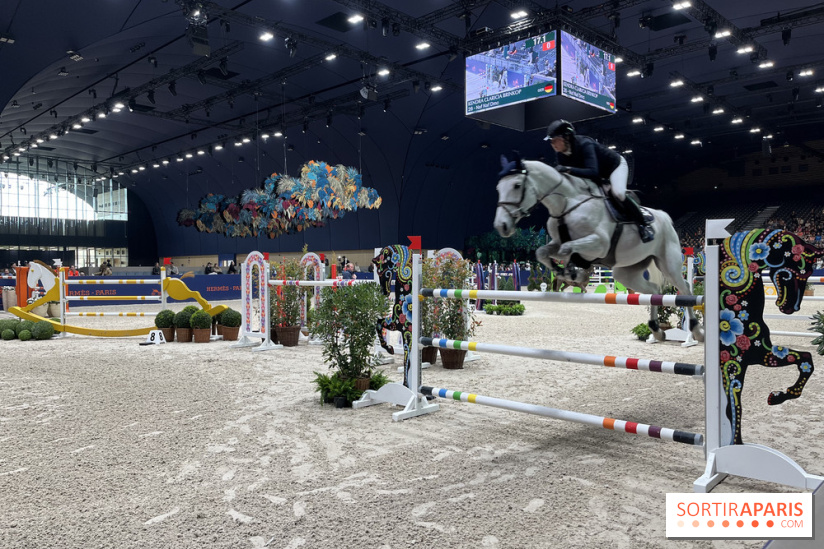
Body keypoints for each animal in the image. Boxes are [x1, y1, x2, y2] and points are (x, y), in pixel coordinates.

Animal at [372, 245, 414, 388]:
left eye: (381, 270)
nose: (384, 292)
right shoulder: (395, 324)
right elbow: (378, 323)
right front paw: (389, 349)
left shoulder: (408, 333)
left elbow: (406, 360)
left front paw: (406, 385)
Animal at [493, 153, 703, 343]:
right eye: (498, 188)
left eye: (516, 185)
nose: (501, 226)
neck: (566, 205)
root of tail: (664, 217)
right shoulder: (556, 241)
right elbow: (543, 252)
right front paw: (561, 271)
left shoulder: (599, 244)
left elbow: (567, 249)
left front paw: (573, 273)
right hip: (627, 271)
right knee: (653, 290)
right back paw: (657, 330)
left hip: (669, 264)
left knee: (685, 290)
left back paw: (696, 331)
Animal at [718, 229, 824, 445]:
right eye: (795, 271)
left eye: (810, 273)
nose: (792, 308)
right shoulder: (732, 364)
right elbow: (733, 407)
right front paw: (736, 443)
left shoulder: (763, 355)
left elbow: (806, 360)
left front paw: (778, 396)